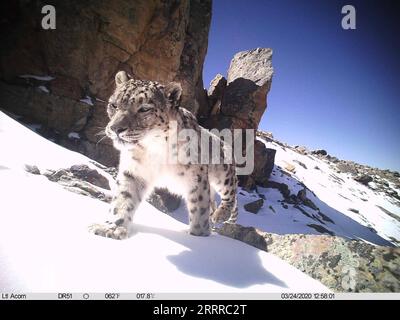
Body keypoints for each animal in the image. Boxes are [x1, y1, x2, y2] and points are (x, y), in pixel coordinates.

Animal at [90, 70, 238, 240]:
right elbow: (123, 198)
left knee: (231, 193)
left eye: (144, 109)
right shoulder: (134, 173)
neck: (154, 148)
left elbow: (199, 209)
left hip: (223, 173)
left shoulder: (196, 179)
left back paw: (219, 215)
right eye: (114, 105)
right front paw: (112, 228)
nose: (115, 128)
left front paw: (198, 236)